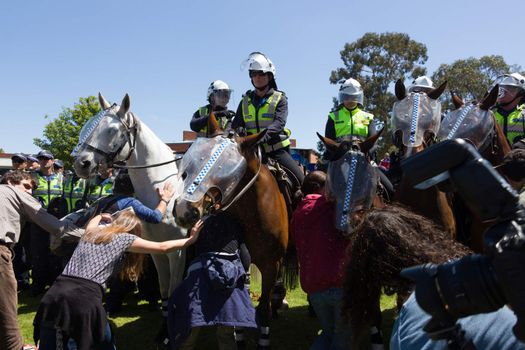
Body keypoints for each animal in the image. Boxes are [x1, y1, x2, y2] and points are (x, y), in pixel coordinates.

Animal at [175, 114, 290, 348]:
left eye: (225, 172)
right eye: (191, 160)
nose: (184, 210)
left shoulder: (271, 265)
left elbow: (262, 310)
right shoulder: (241, 260)